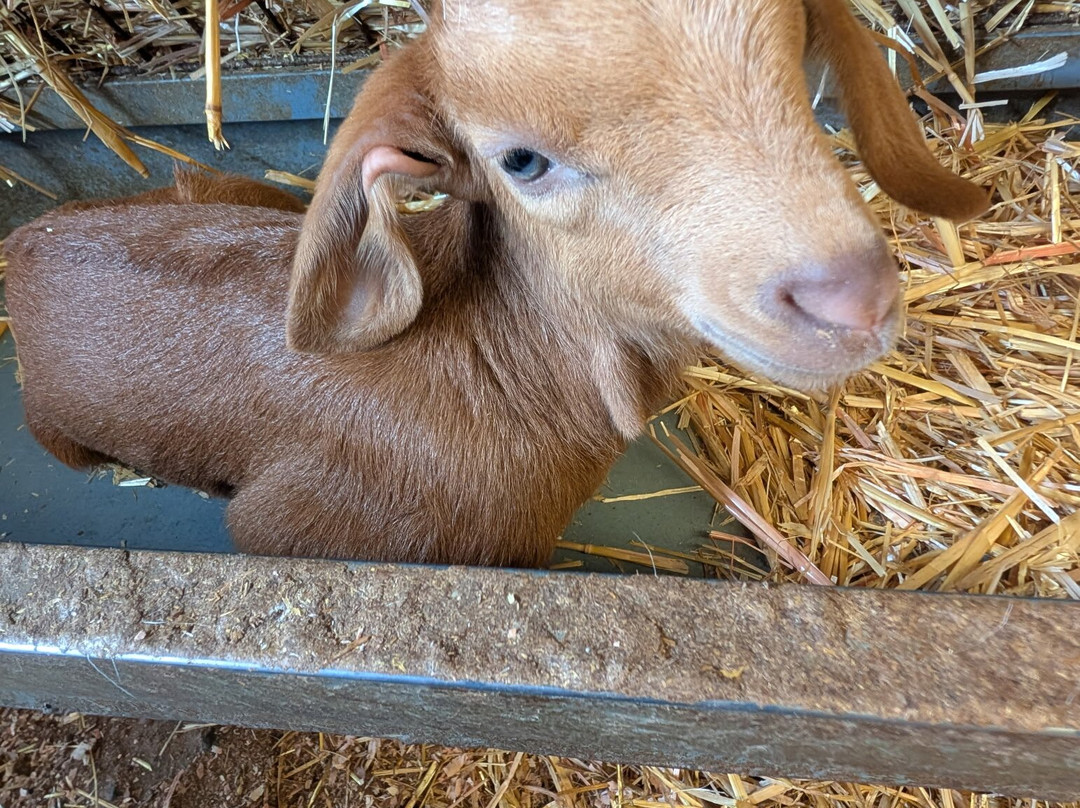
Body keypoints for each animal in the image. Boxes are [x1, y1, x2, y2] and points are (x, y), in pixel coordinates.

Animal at [4, 0, 986, 566]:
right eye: (521, 160)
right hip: (61, 432)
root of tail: (29, 241)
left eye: (795, 65)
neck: (493, 361)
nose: (852, 299)